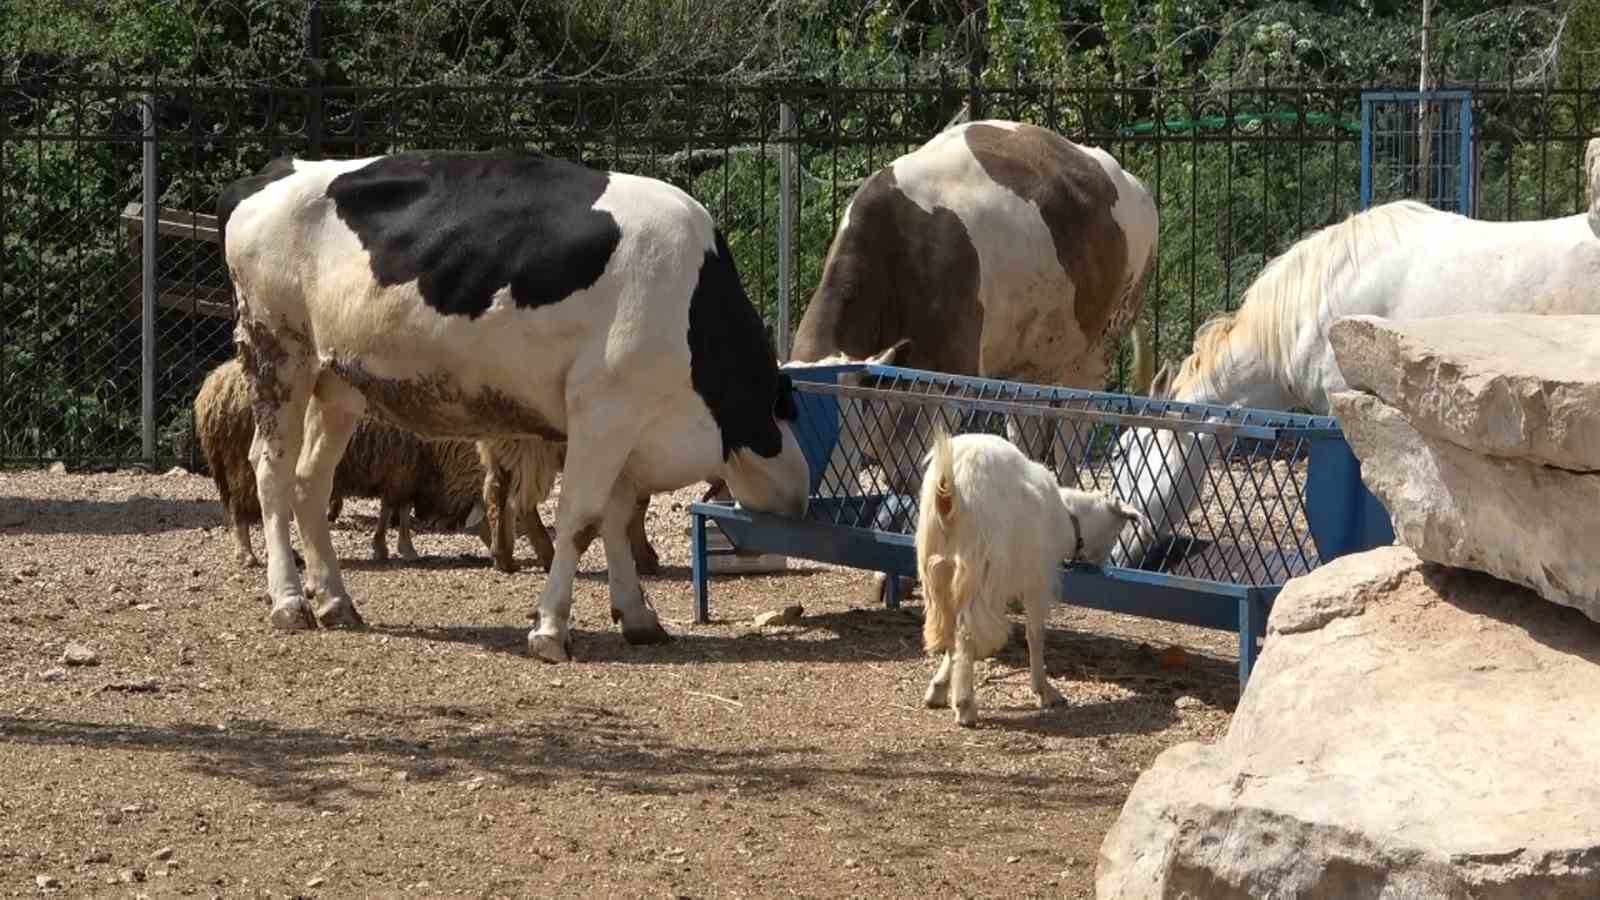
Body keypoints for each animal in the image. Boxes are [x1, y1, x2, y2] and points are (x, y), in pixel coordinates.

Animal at [219, 150, 812, 662]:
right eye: (787, 408)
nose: (802, 495)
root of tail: (279, 170)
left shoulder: (620, 422)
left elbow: (617, 516)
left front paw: (638, 617)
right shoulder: (605, 410)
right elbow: (581, 519)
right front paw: (551, 630)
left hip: (337, 382)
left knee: (310, 481)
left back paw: (335, 601)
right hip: (279, 353)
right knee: (271, 472)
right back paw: (289, 601)